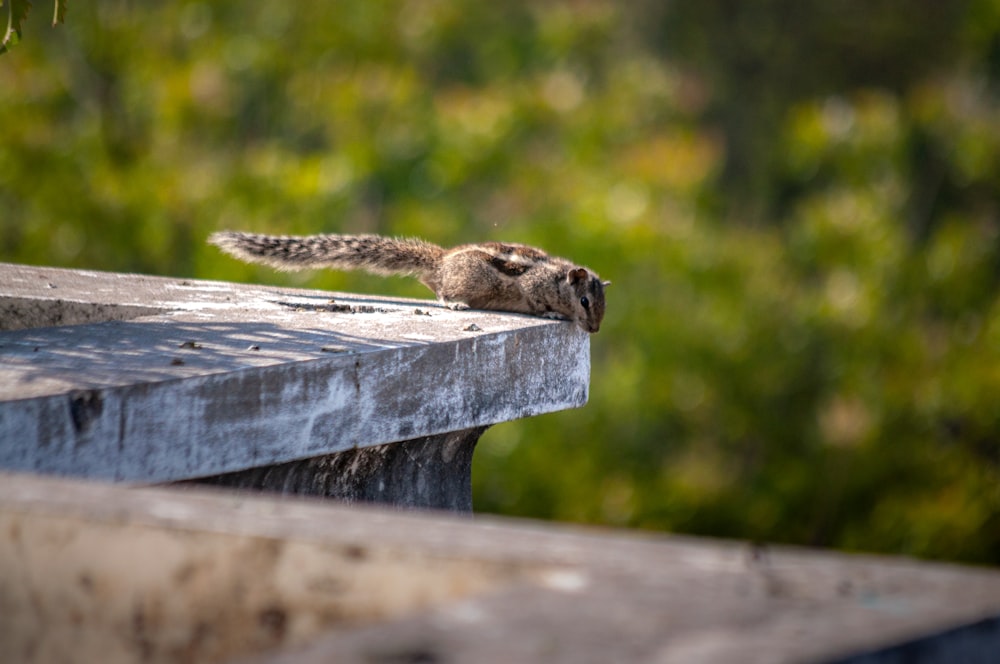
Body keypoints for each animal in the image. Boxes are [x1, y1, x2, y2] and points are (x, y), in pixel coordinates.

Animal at [207, 231, 604, 332]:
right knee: (442, 292)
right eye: (585, 301)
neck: (557, 278)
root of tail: (440, 262)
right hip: (470, 282)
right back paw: (453, 302)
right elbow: (538, 303)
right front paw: (554, 314)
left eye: (604, 306)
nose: (594, 330)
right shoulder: (531, 286)